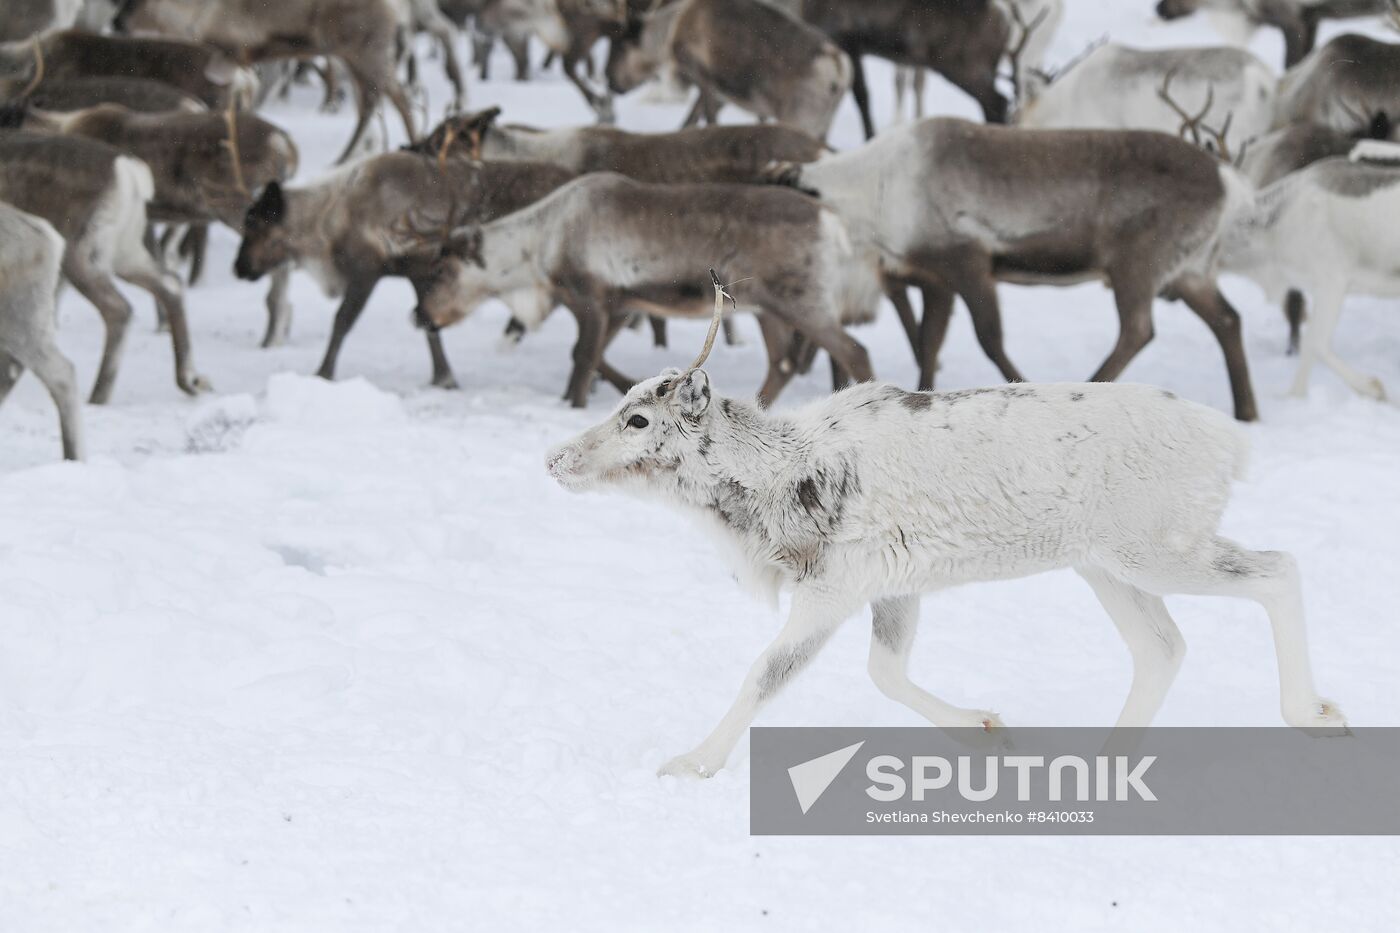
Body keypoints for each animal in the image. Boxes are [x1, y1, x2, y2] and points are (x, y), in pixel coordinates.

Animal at [546, 336, 1344, 778]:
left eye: (639, 418)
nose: (555, 457)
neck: (773, 483)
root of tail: (1231, 445)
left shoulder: (833, 589)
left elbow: (766, 675)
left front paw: (692, 762)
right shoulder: (894, 588)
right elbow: (886, 672)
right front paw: (987, 728)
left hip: (1155, 549)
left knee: (1279, 569)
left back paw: (1313, 712)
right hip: (1104, 565)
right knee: (1162, 647)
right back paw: (1104, 764)